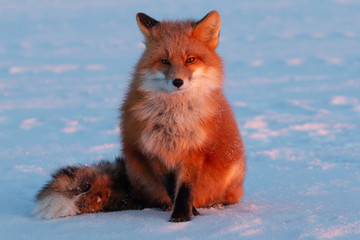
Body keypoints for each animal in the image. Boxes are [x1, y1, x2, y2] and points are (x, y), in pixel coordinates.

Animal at [34, 10, 245, 222]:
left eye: (190, 59)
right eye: (164, 61)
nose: (177, 82)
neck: (173, 117)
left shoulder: (194, 150)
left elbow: (185, 189)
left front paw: (183, 216)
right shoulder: (151, 149)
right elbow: (171, 187)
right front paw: (183, 213)